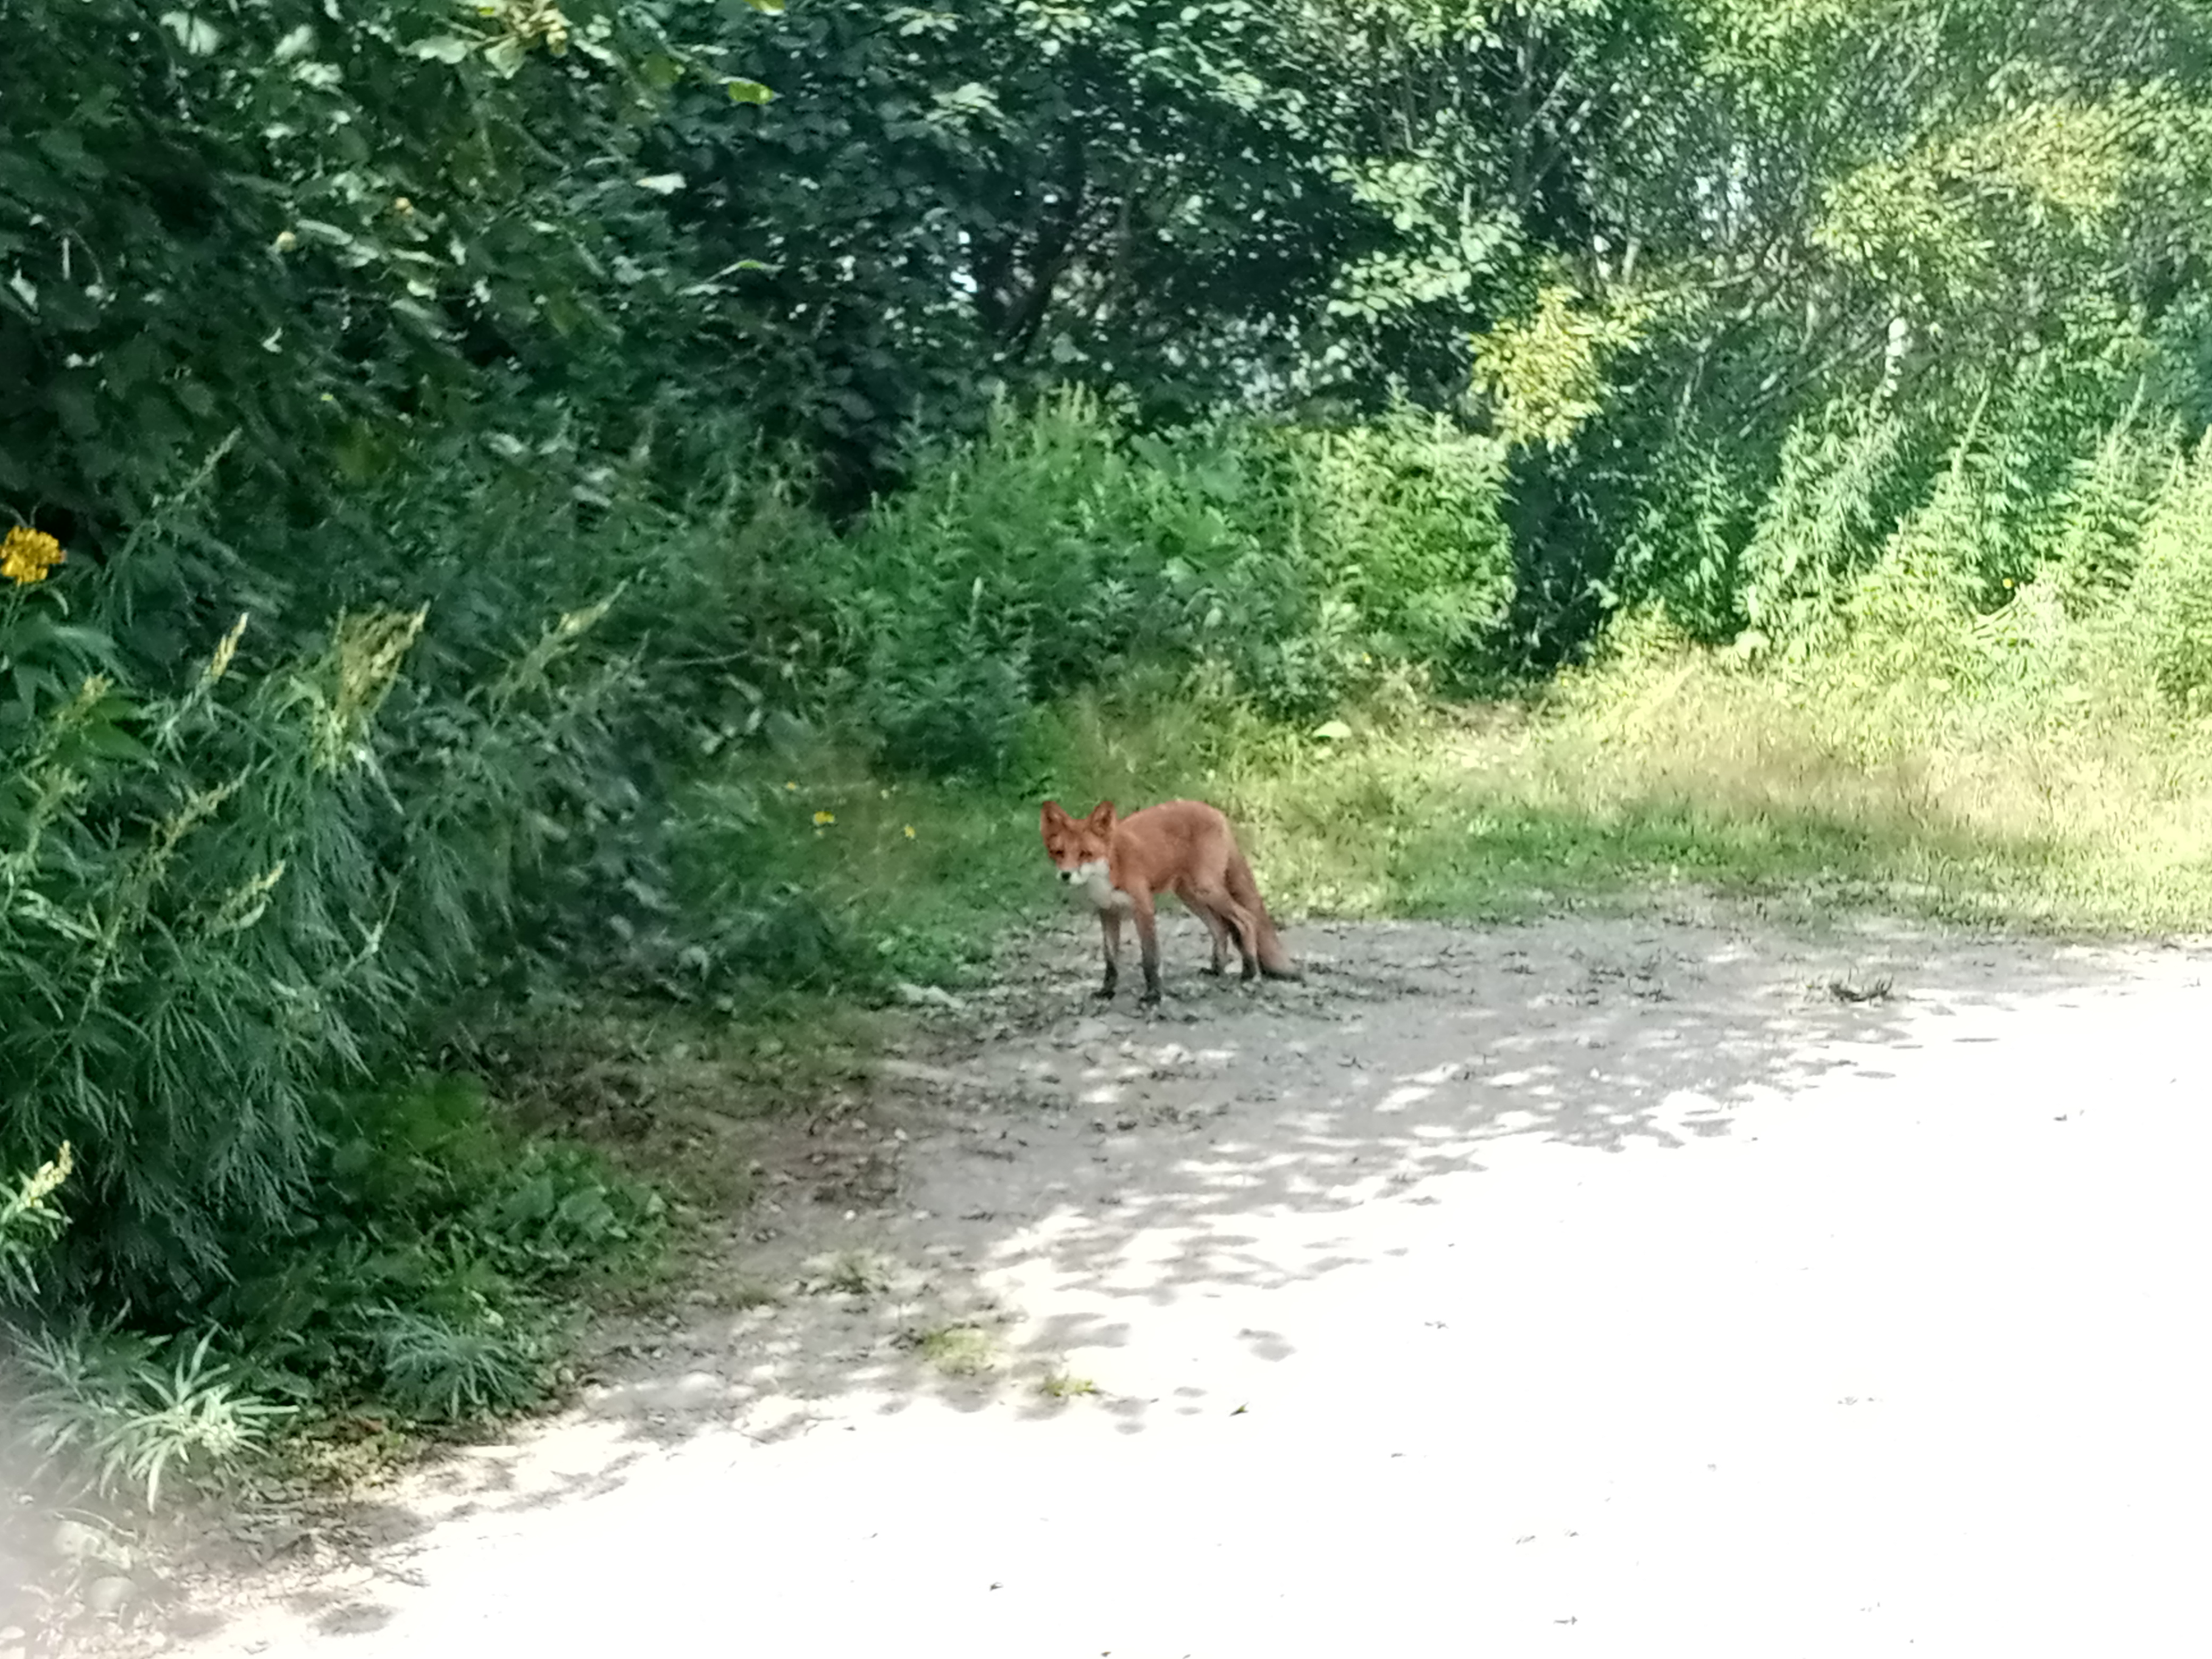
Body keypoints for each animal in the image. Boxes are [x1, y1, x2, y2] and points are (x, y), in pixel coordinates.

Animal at [1035, 800, 1292, 1008]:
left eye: (1085, 854)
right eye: (1058, 853)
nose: (1066, 875)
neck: (1111, 869)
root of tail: (1215, 811)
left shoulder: (1144, 909)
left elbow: (1150, 959)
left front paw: (1153, 996)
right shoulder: (1108, 913)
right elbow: (1111, 961)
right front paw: (1107, 991)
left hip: (1206, 890)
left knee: (1246, 919)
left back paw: (1250, 972)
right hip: (1190, 895)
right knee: (1220, 928)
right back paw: (1217, 969)